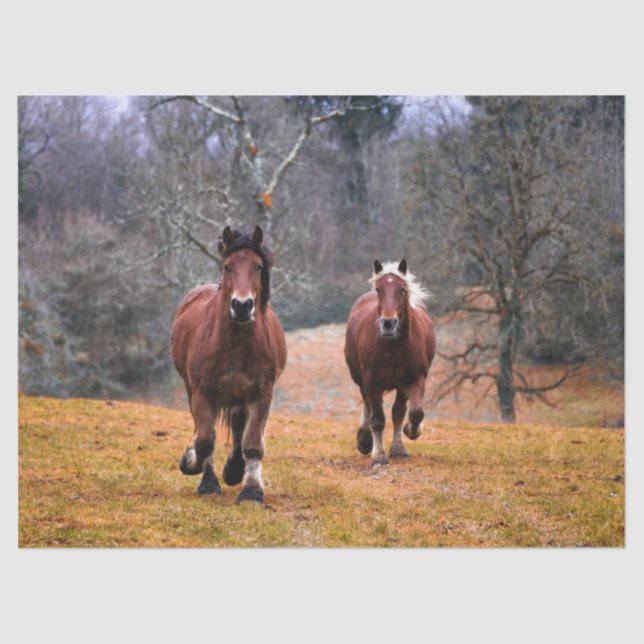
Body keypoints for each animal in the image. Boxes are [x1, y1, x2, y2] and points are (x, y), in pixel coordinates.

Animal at [170, 225, 287, 504]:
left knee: (238, 426)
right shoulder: (202, 393)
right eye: (227, 266)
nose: (242, 306)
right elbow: (204, 440)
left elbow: (252, 442)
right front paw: (194, 467)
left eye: (258, 266)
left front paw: (251, 490)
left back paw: (235, 469)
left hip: (239, 397)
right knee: (207, 431)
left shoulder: (262, 394)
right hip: (195, 391)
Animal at [344, 259, 436, 466]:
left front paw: (408, 435)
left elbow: (413, 412)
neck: (394, 348)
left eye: (402, 289)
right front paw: (378, 455)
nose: (388, 323)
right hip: (360, 378)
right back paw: (365, 440)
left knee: (397, 411)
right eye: (379, 289)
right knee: (367, 403)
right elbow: (378, 419)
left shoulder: (414, 379)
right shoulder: (372, 381)